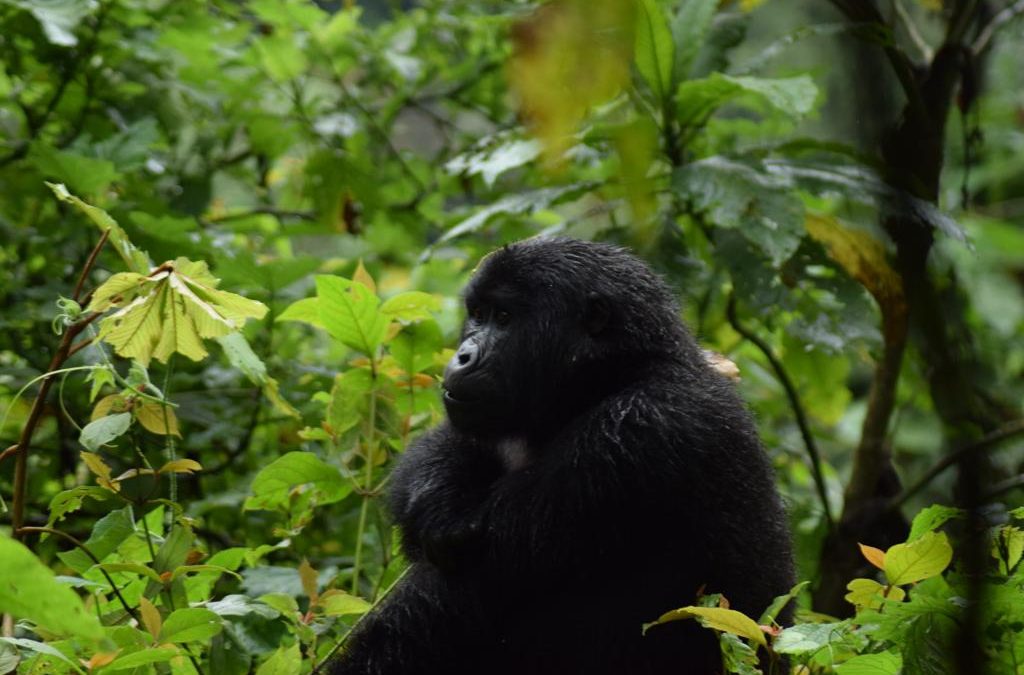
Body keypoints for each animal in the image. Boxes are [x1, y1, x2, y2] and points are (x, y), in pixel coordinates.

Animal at [331, 237, 794, 675]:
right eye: (477, 314)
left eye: (504, 318)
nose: (462, 356)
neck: (613, 374)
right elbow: (447, 446)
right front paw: (435, 494)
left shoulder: (637, 431)